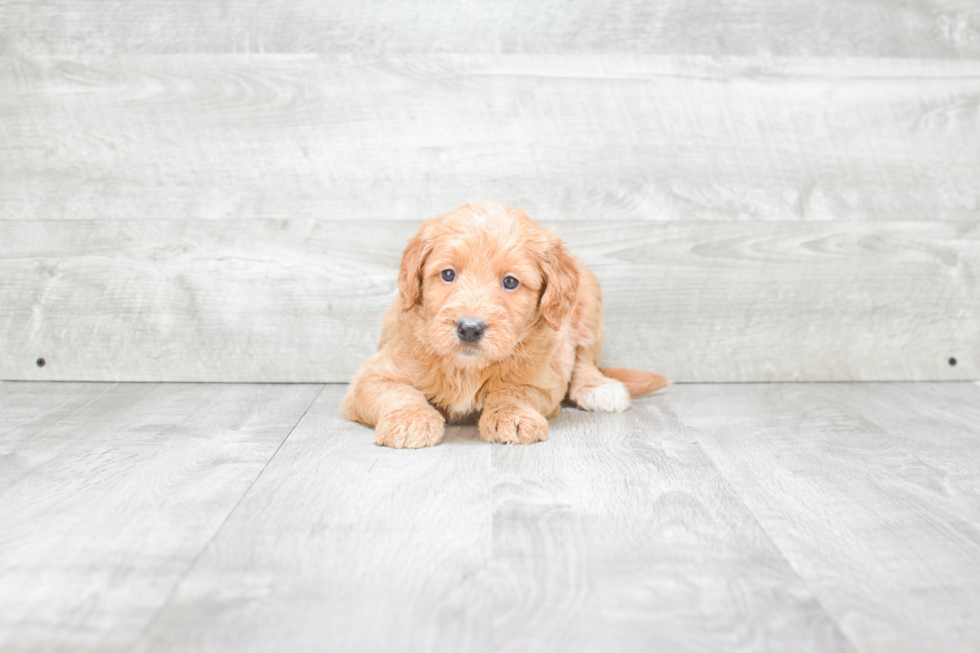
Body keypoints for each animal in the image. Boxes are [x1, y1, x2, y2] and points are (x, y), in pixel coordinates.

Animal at [340, 201, 668, 446]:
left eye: (510, 282)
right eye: (448, 274)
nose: (470, 328)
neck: (467, 368)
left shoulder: (543, 381)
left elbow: (512, 392)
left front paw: (512, 416)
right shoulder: (371, 376)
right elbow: (399, 392)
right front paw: (410, 420)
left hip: (589, 299)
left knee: (585, 361)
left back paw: (599, 388)